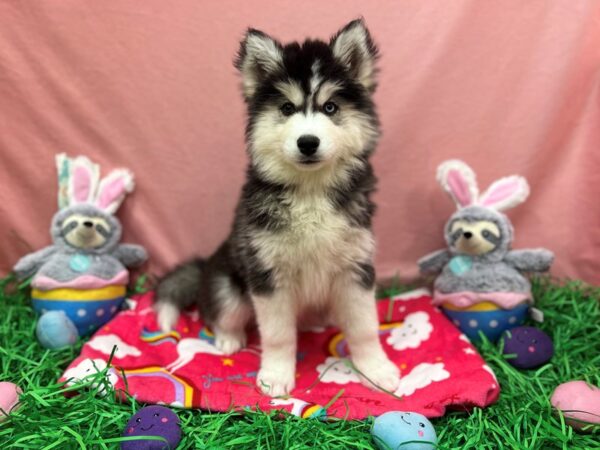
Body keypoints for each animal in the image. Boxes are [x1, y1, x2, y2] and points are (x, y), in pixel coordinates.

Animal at [155, 19, 398, 396]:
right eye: (286, 108)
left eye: (330, 107)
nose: (308, 142)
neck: (310, 192)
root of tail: (206, 264)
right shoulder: (268, 275)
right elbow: (279, 335)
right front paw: (276, 375)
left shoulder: (356, 268)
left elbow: (363, 326)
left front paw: (375, 369)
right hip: (230, 286)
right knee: (219, 313)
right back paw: (228, 338)